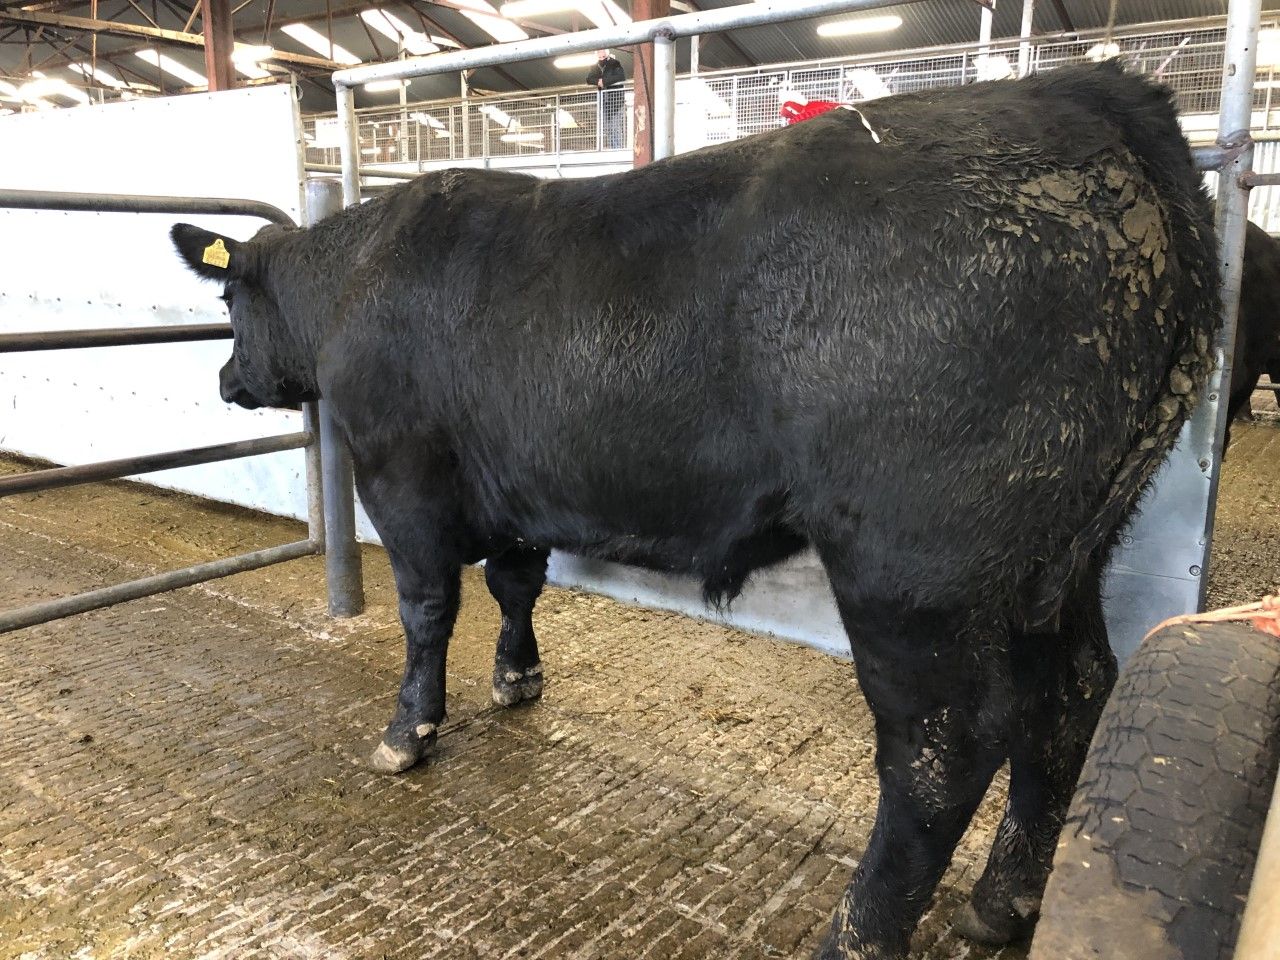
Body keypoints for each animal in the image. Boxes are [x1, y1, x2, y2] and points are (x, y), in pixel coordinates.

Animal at [170, 62, 1218, 960]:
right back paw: (1005, 900)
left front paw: (406, 734)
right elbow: (515, 584)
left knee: (942, 746)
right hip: (1059, 557)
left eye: (227, 303)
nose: (222, 380)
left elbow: (428, 610)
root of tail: (1083, 90)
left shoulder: (400, 478)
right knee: (1072, 697)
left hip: (916, 567)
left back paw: (858, 933)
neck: (360, 275)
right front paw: (517, 680)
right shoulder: (518, 484)